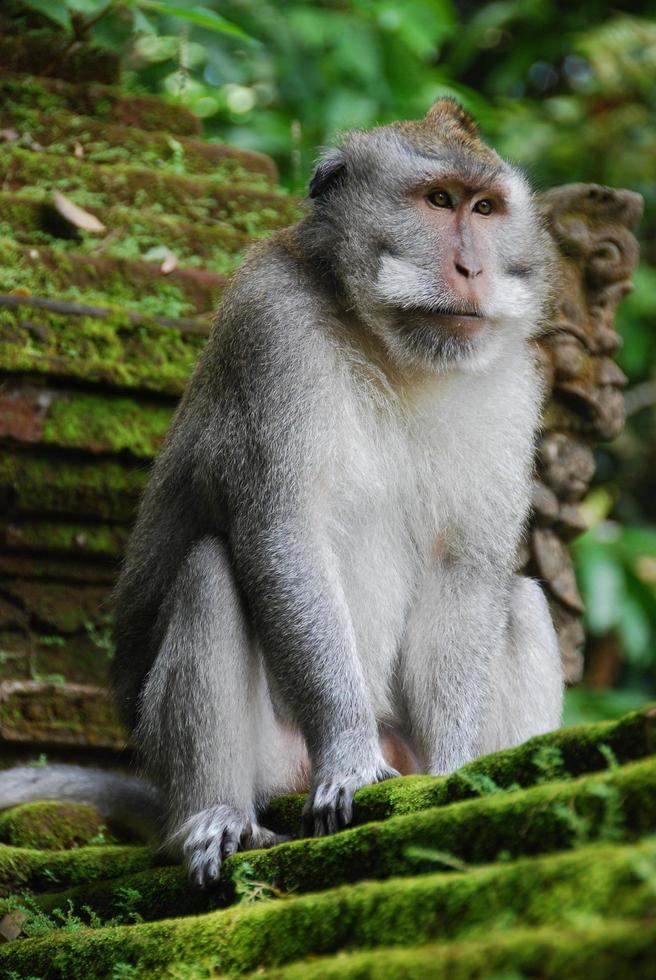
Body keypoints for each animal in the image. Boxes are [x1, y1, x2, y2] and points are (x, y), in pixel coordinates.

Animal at [0, 101, 564, 888]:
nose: (472, 268)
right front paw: (351, 758)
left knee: (523, 599)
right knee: (210, 571)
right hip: (263, 763)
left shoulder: (511, 380)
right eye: (438, 201)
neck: (393, 350)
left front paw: (457, 773)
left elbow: (469, 573)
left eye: (485, 209)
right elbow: (284, 535)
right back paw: (213, 819)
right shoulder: (274, 330)